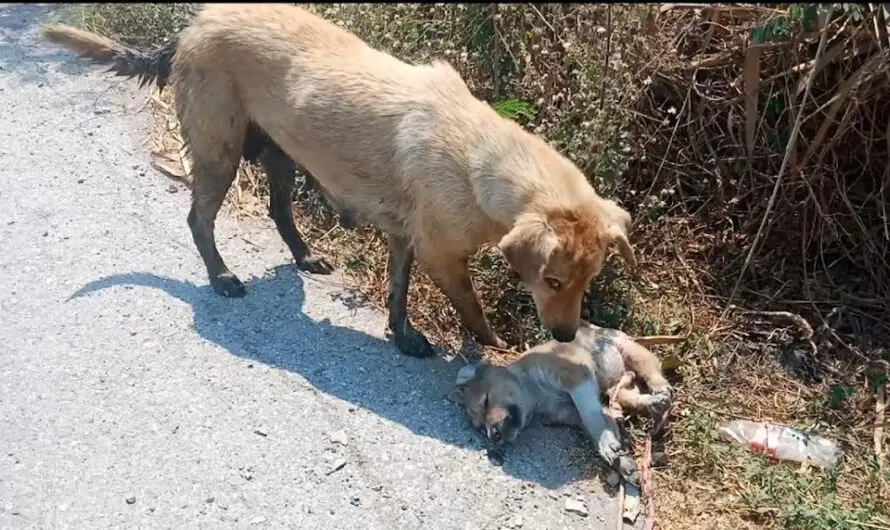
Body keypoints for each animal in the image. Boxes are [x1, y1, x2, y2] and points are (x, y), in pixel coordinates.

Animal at [41, 4, 636, 356]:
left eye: (588, 281)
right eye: (552, 281)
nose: (566, 335)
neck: (478, 155)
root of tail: (191, 25)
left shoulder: (404, 238)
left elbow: (397, 293)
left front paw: (402, 336)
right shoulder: (442, 256)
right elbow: (472, 308)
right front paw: (494, 345)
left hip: (279, 153)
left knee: (279, 210)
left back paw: (304, 256)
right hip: (219, 153)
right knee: (197, 219)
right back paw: (221, 276)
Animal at [450, 320, 664, 484]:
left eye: (486, 401)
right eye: (479, 428)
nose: (493, 436)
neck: (537, 397)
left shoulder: (577, 377)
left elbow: (593, 419)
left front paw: (609, 447)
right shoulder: (572, 413)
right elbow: (600, 425)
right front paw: (622, 462)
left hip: (630, 351)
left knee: (654, 372)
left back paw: (662, 395)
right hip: (621, 385)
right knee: (629, 396)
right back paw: (650, 404)